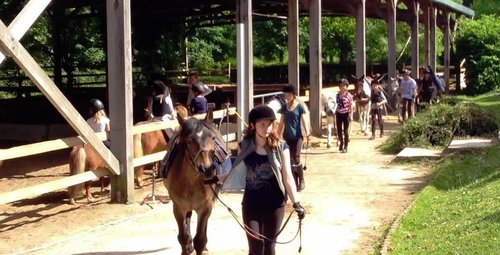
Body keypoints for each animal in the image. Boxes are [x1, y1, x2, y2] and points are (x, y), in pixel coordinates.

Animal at [163, 111, 222, 255]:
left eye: (212, 138)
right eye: (189, 140)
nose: (207, 169)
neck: (190, 182)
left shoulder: (205, 208)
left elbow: (200, 239)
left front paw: (202, 246)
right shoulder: (178, 208)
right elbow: (183, 237)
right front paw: (187, 247)